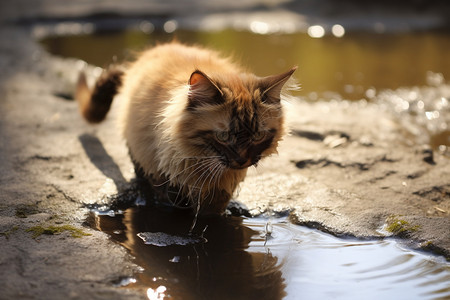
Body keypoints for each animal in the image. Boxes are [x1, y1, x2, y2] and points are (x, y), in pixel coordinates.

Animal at [76, 42, 296, 216]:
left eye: (258, 135)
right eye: (223, 136)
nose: (242, 160)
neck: (200, 159)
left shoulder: (223, 186)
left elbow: (214, 207)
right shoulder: (161, 166)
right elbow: (171, 196)